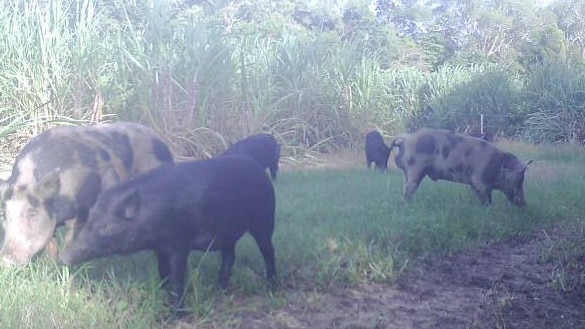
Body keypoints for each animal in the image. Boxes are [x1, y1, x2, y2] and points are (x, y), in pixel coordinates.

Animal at [0, 121, 173, 266]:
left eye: (32, 212)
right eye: (4, 215)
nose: (6, 261)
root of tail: (162, 142)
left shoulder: (81, 211)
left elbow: (69, 239)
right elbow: (51, 243)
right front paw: (50, 264)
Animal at [58, 155, 278, 312]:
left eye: (105, 226)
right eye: (89, 219)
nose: (63, 257)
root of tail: (259, 168)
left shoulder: (178, 242)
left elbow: (176, 275)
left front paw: (177, 313)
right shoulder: (159, 247)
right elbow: (162, 272)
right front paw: (162, 294)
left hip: (264, 220)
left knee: (268, 251)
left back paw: (271, 286)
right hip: (227, 233)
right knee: (230, 256)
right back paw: (220, 289)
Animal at [390, 127, 532, 205]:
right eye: (519, 181)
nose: (524, 204)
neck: (499, 167)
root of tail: (406, 139)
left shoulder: (475, 184)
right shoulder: (479, 181)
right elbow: (486, 199)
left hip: (407, 172)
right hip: (415, 169)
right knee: (408, 189)